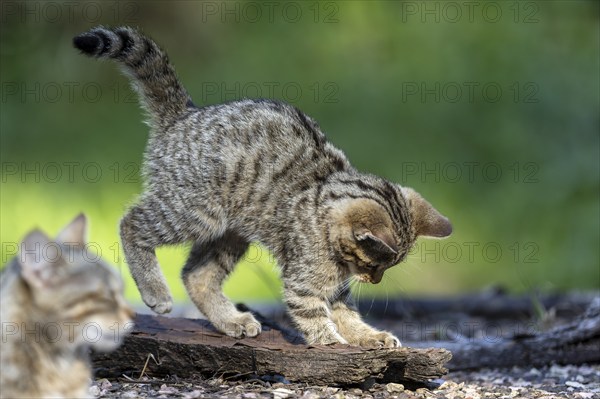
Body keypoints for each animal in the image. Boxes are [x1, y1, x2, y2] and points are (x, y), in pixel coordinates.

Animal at [74, 26, 450, 348]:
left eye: (385, 268)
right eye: (375, 264)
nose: (375, 281)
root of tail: (183, 115)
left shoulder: (335, 286)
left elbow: (347, 313)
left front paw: (367, 336)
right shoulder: (304, 277)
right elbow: (313, 311)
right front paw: (330, 341)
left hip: (230, 232)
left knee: (197, 276)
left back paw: (231, 320)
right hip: (195, 212)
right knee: (131, 223)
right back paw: (156, 292)